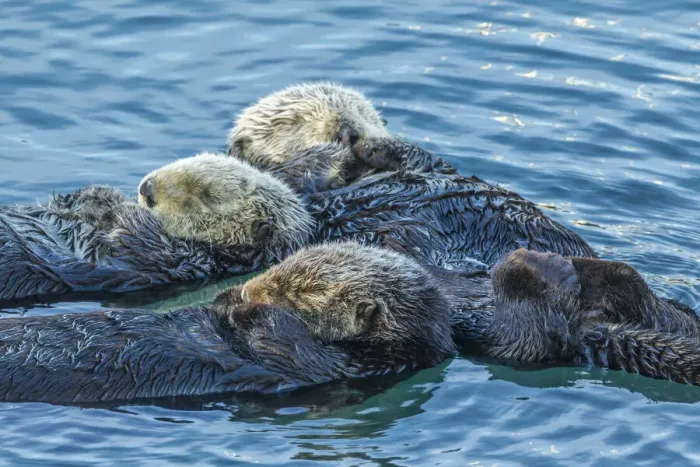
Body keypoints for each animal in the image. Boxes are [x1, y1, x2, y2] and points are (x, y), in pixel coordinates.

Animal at [0, 244, 455, 404]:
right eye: (283, 264)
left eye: (299, 293)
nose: (252, 292)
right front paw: (229, 299)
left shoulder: (343, 369)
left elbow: (282, 345)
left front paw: (242, 310)